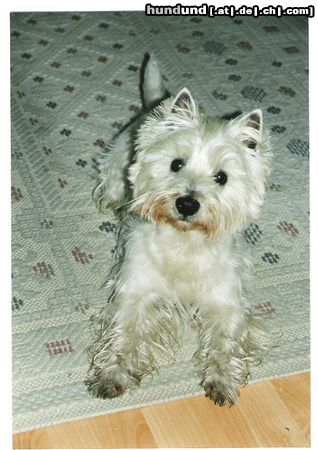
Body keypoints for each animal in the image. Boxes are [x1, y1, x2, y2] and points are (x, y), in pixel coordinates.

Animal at [86, 54, 274, 406]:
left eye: (222, 177)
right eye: (176, 164)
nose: (187, 204)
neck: (184, 243)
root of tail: (155, 104)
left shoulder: (226, 302)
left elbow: (226, 340)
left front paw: (222, 379)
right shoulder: (135, 291)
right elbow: (124, 334)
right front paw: (112, 375)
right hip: (118, 161)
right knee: (112, 181)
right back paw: (116, 201)